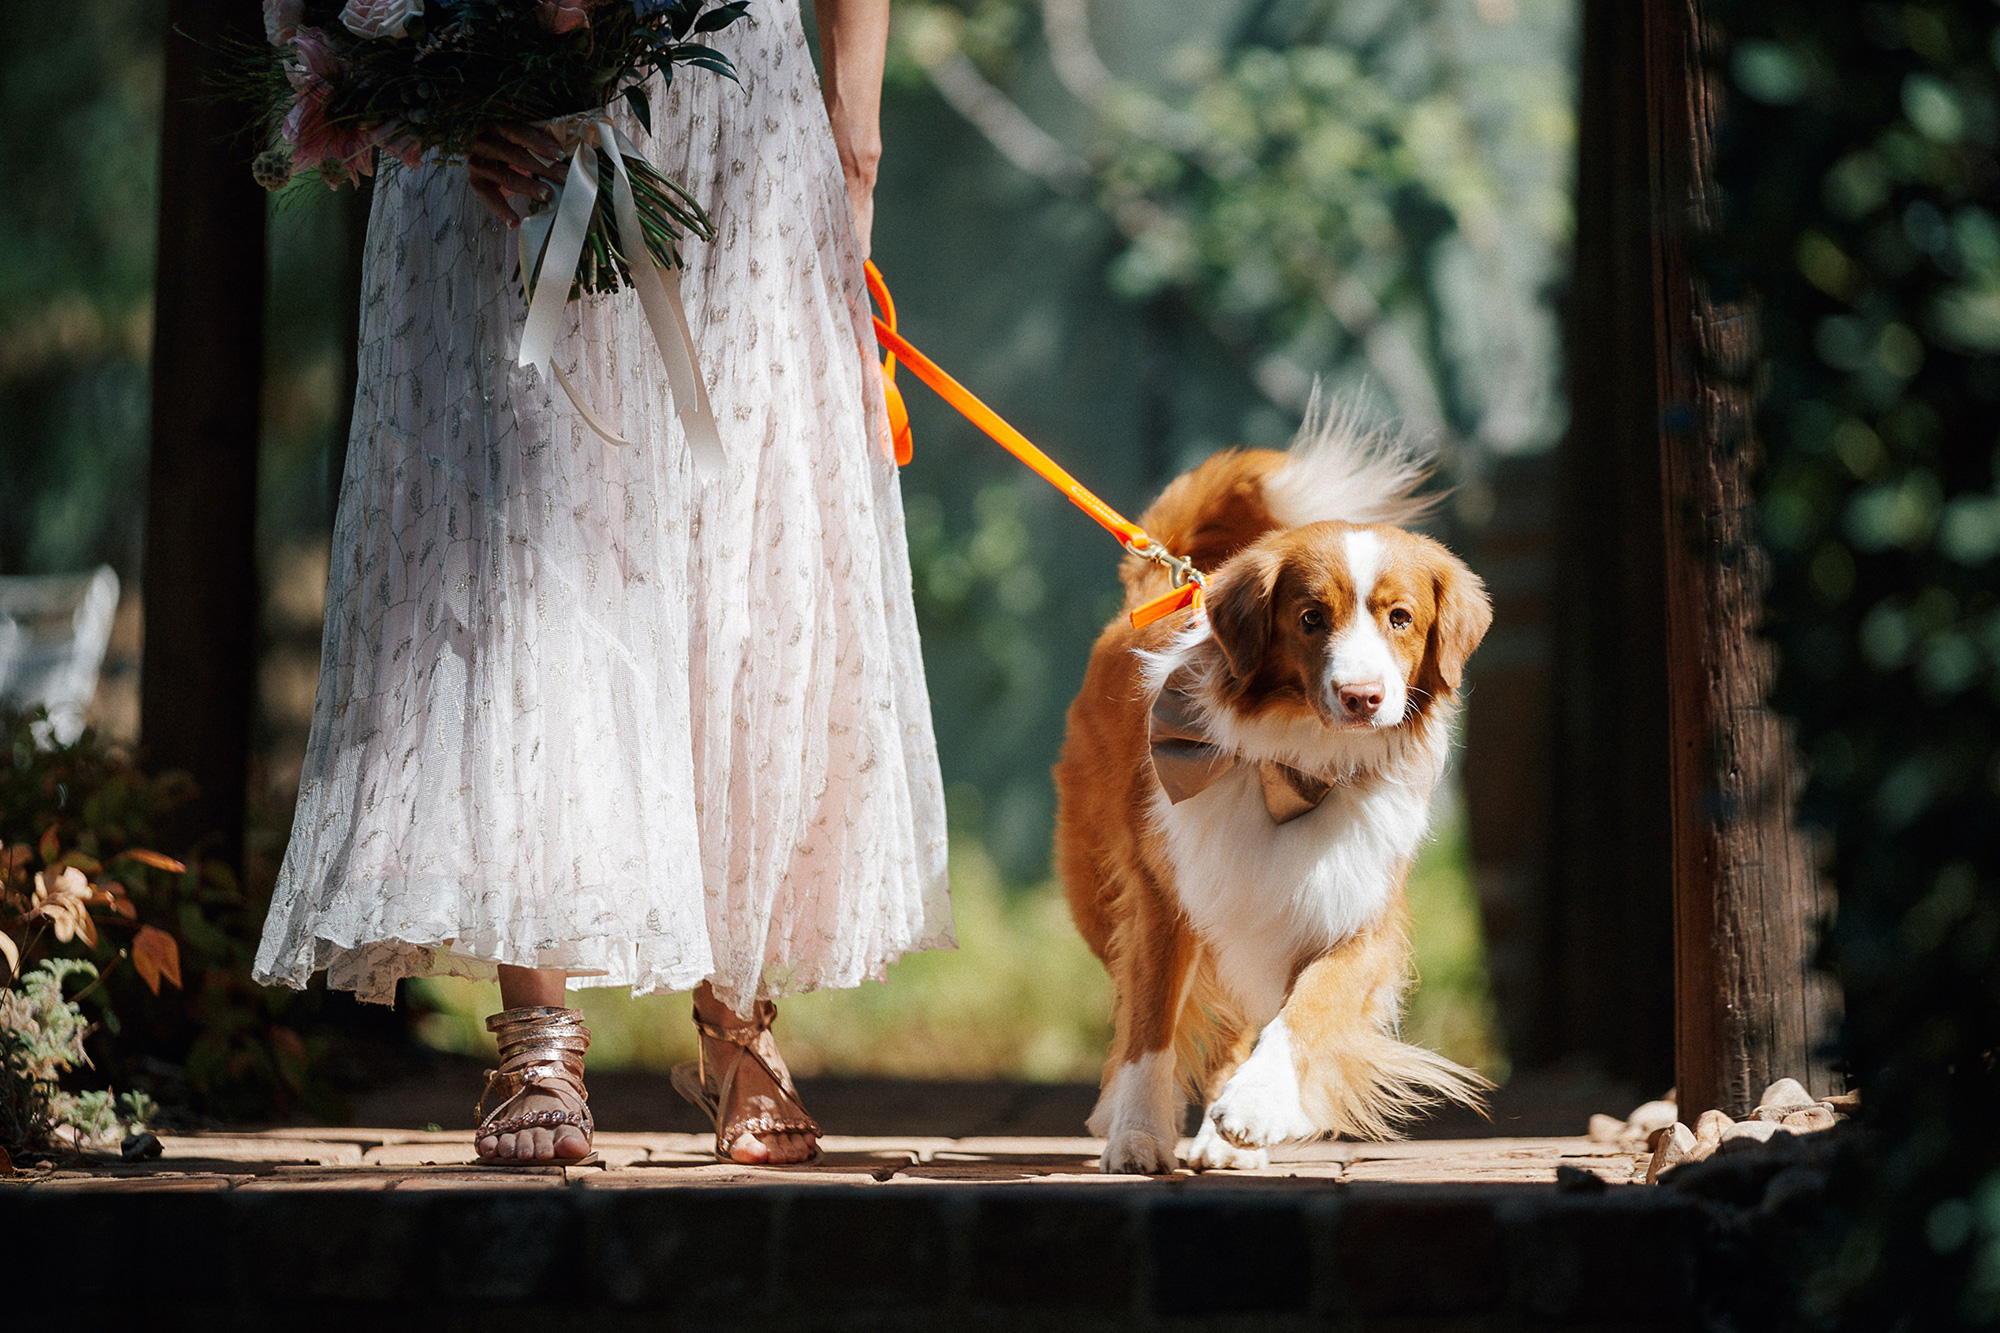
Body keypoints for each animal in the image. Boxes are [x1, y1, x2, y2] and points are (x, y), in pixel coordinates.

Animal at [1056, 400, 1496, 1168]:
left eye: (1401, 618)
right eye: (1311, 617)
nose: (1362, 697)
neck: (1296, 767)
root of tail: (1164, 583)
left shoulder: (1356, 910)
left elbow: (1309, 1006)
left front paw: (1256, 1106)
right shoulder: (1168, 893)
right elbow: (1149, 1024)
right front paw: (1136, 1130)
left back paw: (1223, 1137)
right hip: (1105, 890)